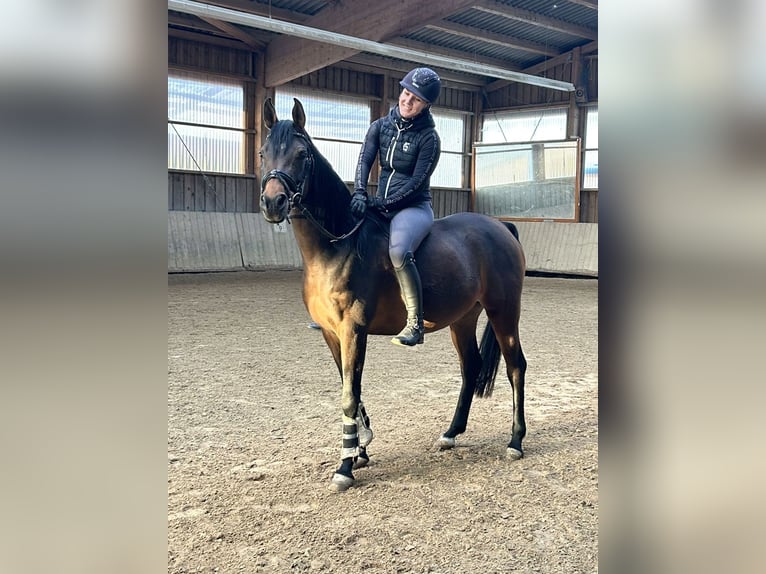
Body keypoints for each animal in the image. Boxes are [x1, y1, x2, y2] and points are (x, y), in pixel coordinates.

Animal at [259, 97, 527, 492]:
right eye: (263, 153)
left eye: (302, 154)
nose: (273, 203)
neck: (338, 244)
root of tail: (500, 226)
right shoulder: (331, 333)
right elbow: (349, 386)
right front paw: (360, 448)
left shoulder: (354, 329)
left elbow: (349, 394)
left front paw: (345, 467)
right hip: (463, 318)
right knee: (471, 367)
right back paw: (451, 433)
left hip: (503, 311)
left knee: (515, 366)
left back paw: (516, 441)